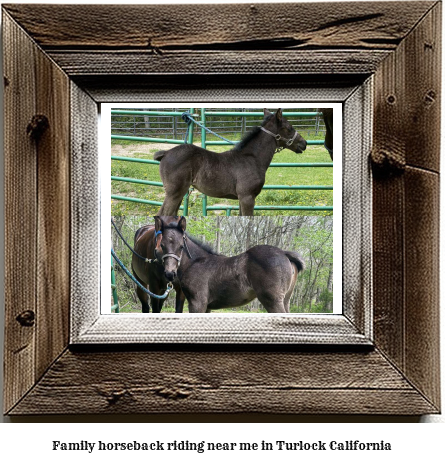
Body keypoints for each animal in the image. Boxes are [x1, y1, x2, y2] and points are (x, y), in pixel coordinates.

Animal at [154, 217, 304, 312]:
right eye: (162, 245)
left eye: (181, 246)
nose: (169, 273)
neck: (195, 263)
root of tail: (284, 253)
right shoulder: (207, 307)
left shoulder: (197, 303)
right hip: (285, 300)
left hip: (272, 300)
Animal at [155, 109, 306, 217]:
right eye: (289, 127)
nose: (304, 143)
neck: (252, 158)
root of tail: (166, 153)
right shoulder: (247, 197)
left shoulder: (242, 198)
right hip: (174, 193)